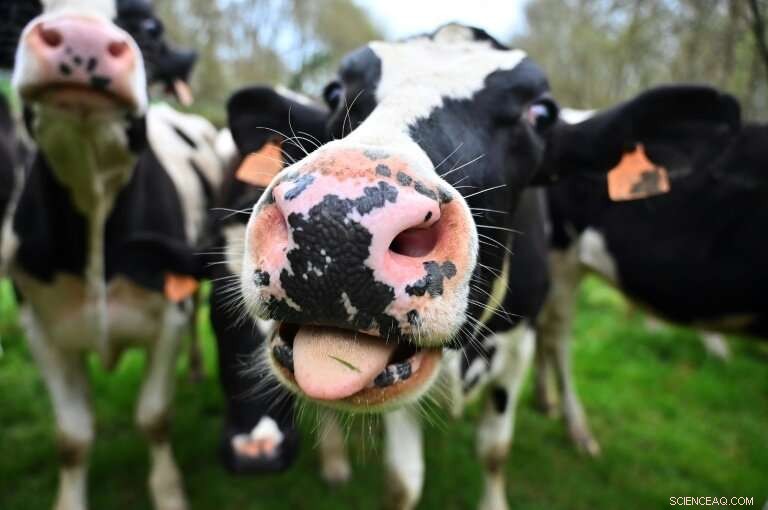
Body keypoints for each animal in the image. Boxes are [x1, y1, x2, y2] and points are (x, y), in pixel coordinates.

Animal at [7, 0, 225, 508]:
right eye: (23, 12)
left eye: (148, 25)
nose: (79, 38)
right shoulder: (39, 327)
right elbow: (73, 436)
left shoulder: (168, 317)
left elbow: (153, 416)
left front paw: (169, 493)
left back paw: (196, 370)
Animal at [228, 23, 739, 510]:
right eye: (334, 92)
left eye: (542, 114)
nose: (334, 220)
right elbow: (403, 482)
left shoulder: (517, 347)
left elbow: (494, 452)